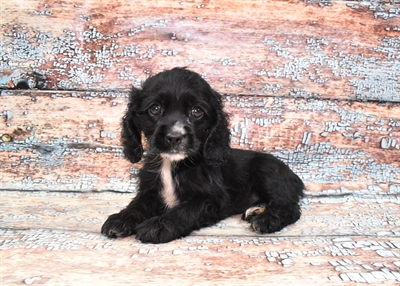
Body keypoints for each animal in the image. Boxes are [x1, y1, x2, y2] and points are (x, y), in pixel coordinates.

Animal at [101, 67, 304, 244]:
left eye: (196, 111)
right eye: (155, 109)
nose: (175, 137)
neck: (172, 164)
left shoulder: (212, 199)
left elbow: (186, 210)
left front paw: (158, 226)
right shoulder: (151, 190)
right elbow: (138, 204)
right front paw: (121, 219)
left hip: (268, 171)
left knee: (291, 208)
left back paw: (266, 220)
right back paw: (256, 210)